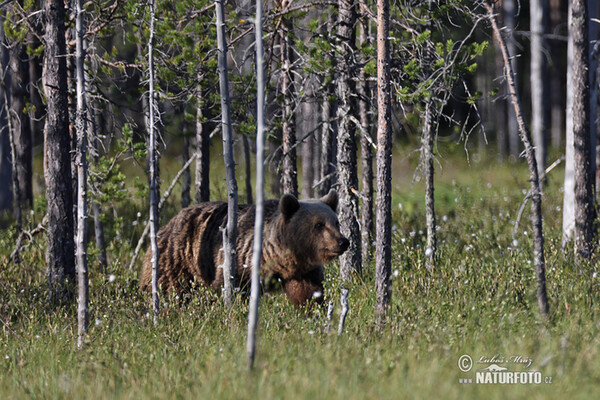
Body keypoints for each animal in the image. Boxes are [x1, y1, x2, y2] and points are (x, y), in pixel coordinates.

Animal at [139, 191, 350, 306]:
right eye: (319, 225)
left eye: (336, 222)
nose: (343, 241)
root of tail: (166, 224)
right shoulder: (239, 261)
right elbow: (228, 289)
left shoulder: (302, 272)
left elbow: (308, 293)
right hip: (177, 261)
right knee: (168, 289)